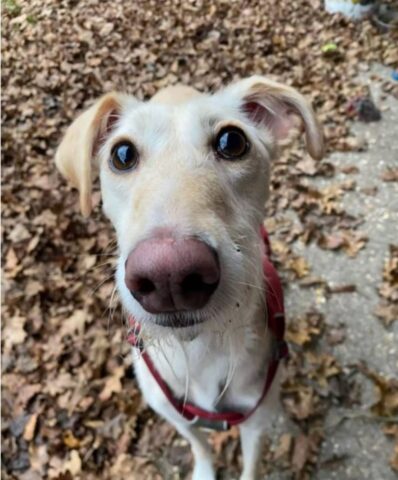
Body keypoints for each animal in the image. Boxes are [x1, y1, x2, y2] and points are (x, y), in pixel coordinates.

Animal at [55, 77, 324, 478]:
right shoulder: (174, 414)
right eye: (122, 154)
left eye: (232, 141)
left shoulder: (258, 417)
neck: (200, 350)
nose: (170, 275)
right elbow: (200, 445)